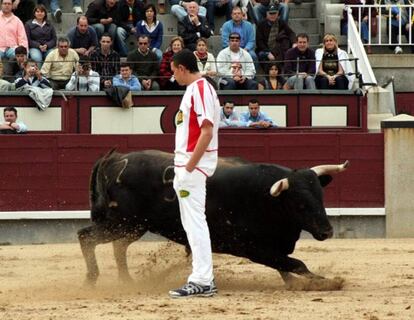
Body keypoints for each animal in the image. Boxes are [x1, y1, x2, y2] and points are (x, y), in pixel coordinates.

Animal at [77, 150, 350, 288]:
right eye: (299, 203)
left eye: (321, 197)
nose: (326, 231)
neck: (265, 197)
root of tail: (113, 159)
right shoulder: (252, 248)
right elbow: (295, 263)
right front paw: (329, 282)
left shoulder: (272, 247)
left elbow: (286, 266)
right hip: (121, 222)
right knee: (85, 236)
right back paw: (92, 279)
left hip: (133, 226)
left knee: (118, 247)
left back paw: (127, 281)